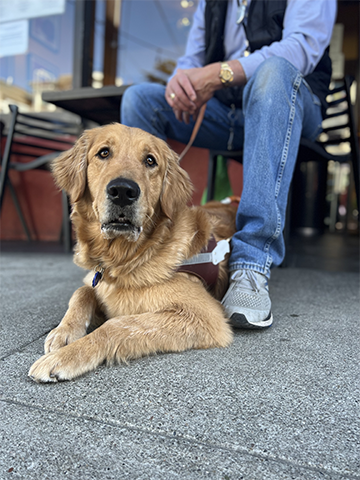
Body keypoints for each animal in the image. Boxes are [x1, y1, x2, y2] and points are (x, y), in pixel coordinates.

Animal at [28, 124, 236, 382]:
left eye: (150, 160)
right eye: (104, 153)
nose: (122, 191)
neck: (126, 257)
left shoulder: (204, 315)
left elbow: (117, 325)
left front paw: (66, 356)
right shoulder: (99, 282)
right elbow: (81, 292)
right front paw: (64, 331)